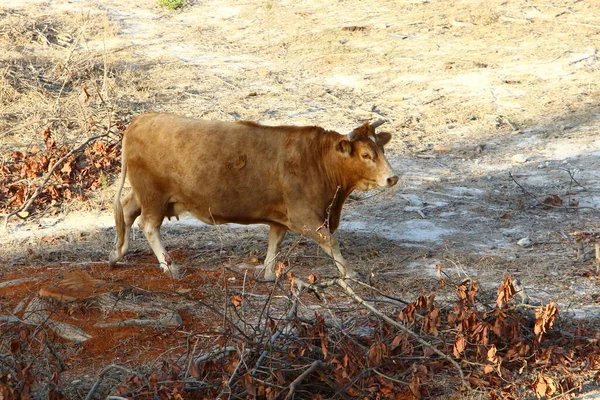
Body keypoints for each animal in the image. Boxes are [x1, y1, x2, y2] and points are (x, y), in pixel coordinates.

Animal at [108, 112, 398, 278]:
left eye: (382, 150)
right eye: (365, 154)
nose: (392, 178)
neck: (317, 159)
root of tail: (142, 119)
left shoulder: (282, 217)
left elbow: (275, 243)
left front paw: (268, 272)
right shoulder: (305, 218)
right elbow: (331, 242)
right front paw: (350, 274)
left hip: (147, 194)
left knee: (127, 210)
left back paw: (117, 252)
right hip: (153, 195)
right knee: (148, 225)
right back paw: (169, 267)